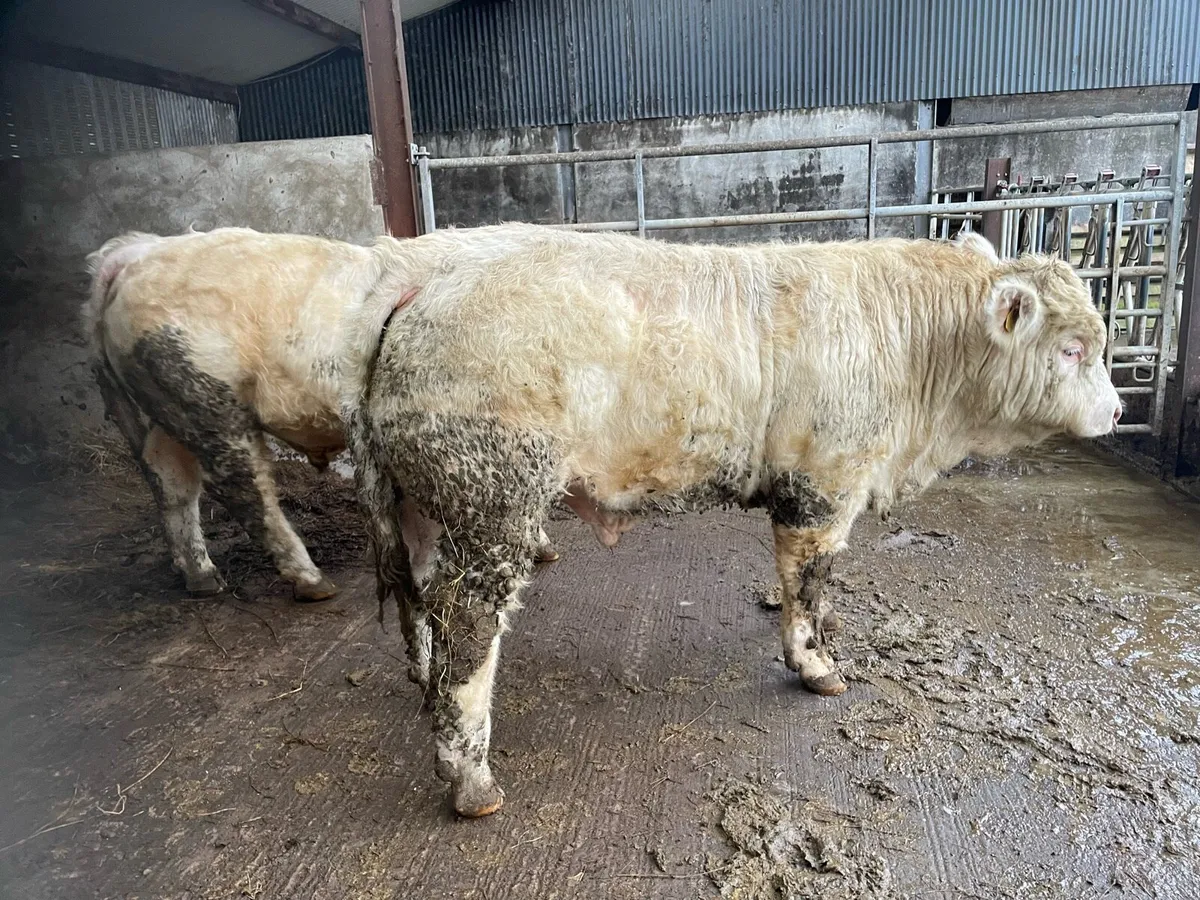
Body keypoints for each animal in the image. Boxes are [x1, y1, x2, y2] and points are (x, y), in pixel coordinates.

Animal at [82, 227, 559, 600]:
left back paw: (201, 577)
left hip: (166, 410)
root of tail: (133, 254)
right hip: (209, 402)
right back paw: (311, 581)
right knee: (243, 487)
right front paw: (541, 547)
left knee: (172, 482)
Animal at [340, 224, 1120, 818]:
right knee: (469, 624)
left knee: (421, 598)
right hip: (494, 502)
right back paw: (471, 777)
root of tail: (423, 281)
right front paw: (816, 664)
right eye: (1072, 348)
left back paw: (426, 685)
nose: (1116, 411)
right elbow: (806, 581)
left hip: (422, 502)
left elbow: (819, 583)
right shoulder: (819, 486)